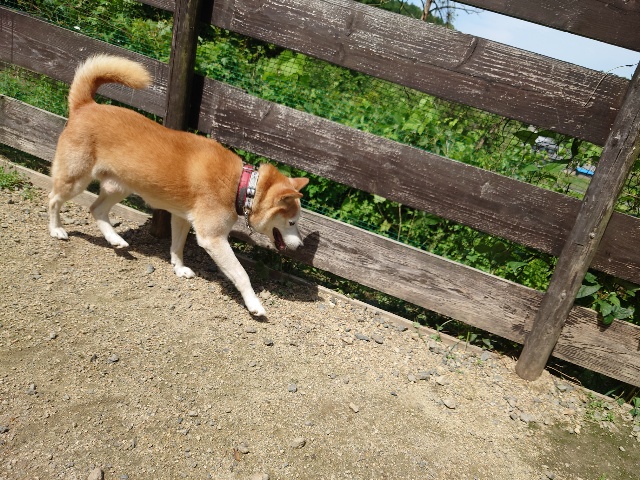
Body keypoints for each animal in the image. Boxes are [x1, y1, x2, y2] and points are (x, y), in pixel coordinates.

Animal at [48, 55, 308, 316]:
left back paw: (115, 239)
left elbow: (177, 246)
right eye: (292, 222)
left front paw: (179, 268)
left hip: (119, 186)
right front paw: (254, 304)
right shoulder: (213, 239)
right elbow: (241, 274)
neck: (242, 186)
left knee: (96, 209)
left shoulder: (182, 218)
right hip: (76, 179)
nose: (301, 246)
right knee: (53, 199)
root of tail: (86, 105)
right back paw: (57, 229)